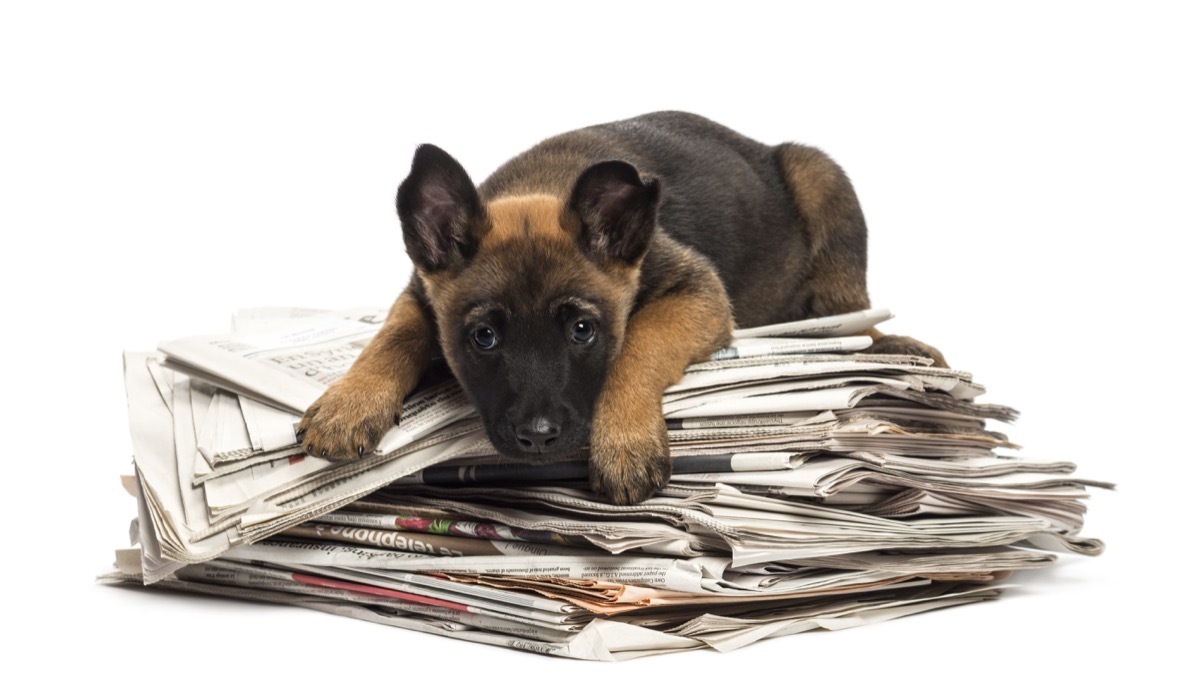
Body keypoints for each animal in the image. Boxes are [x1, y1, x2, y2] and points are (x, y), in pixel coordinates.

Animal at [295, 110, 940, 504]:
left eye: (583, 330)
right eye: (484, 338)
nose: (538, 440)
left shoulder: (697, 294)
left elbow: (640, 343)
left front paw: (624, 439)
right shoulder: (417, 294)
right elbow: (392, 335)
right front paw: (349, 402)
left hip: (822, 182)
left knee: (852, 304)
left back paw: (891, 345)